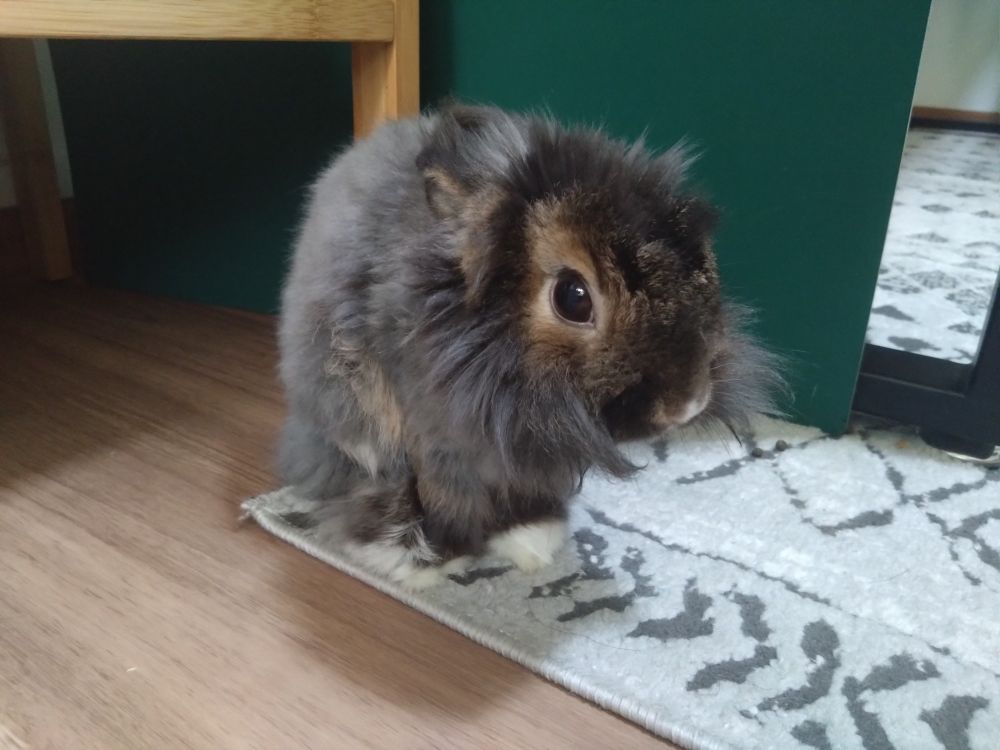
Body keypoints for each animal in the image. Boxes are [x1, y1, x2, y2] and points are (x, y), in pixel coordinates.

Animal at [277, 105, 781, 588]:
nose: (687, 403)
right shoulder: (433, 437)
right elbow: (440, 493)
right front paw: (430, 560)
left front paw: (531, 538)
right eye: (573, 298)